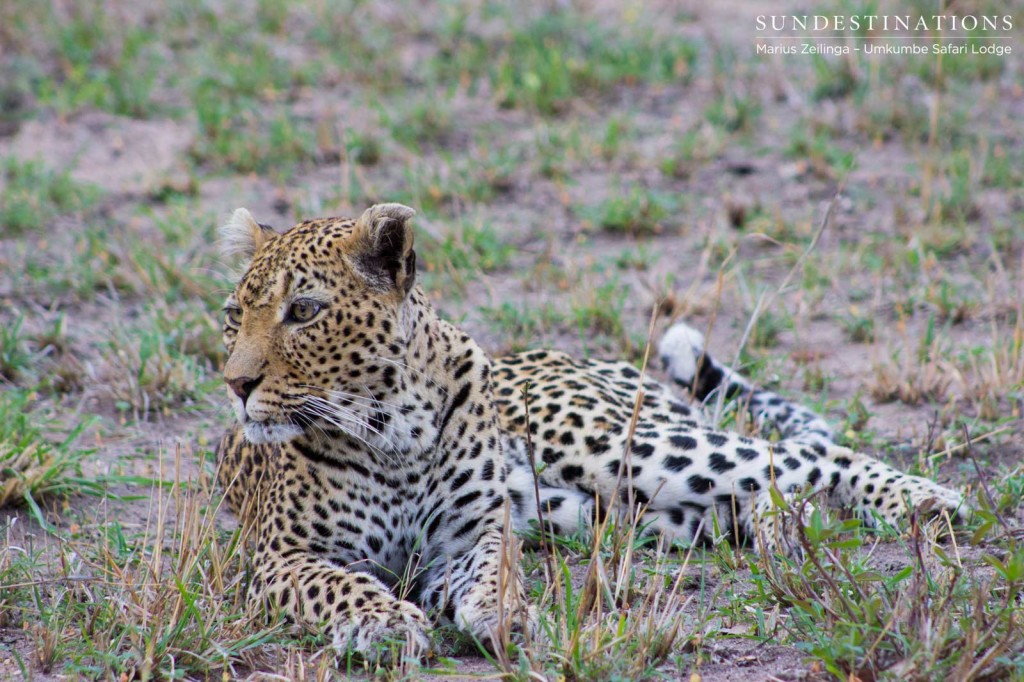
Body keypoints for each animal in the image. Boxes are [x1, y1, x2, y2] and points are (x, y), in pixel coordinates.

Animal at [216, 200, 966, 659]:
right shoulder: (278, 558)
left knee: (800, 452)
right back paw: (787, 535)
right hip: (640, 509)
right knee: (750, 495)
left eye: (303, 311)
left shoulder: (470, 536)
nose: (236, 384)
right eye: (233, 315)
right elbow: (337, 583)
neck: (387, 424)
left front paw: (506, 613)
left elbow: (498, 568)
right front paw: (383, 620)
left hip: (607, 442)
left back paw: (925, 498)